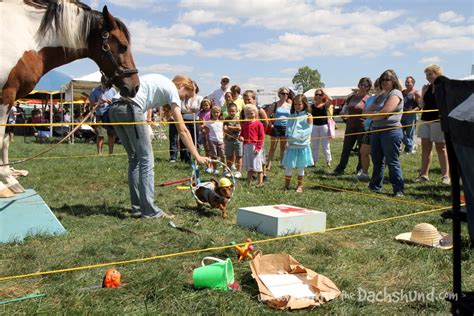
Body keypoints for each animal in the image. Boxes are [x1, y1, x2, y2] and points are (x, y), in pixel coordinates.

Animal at [0, 0, 140, 198]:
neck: (24, 34)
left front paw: (10, 180)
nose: (135, 86)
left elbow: (4, 140)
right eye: (123, 46)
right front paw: (4, 186)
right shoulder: (5, 96)